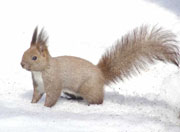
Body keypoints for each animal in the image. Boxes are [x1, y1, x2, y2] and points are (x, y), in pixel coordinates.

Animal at [20, 25, 179, 107]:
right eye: (24, 52)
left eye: (34, 57)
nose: (22, 64)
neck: (41, 70)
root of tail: (101, 73)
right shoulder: (38, 85)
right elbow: (36, 95)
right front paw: (31, 105)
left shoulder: (53, 82)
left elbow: (52, 97)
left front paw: (45, 108)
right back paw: (72, 99)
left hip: (88, 88)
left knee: (98, 100)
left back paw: (91, 105)